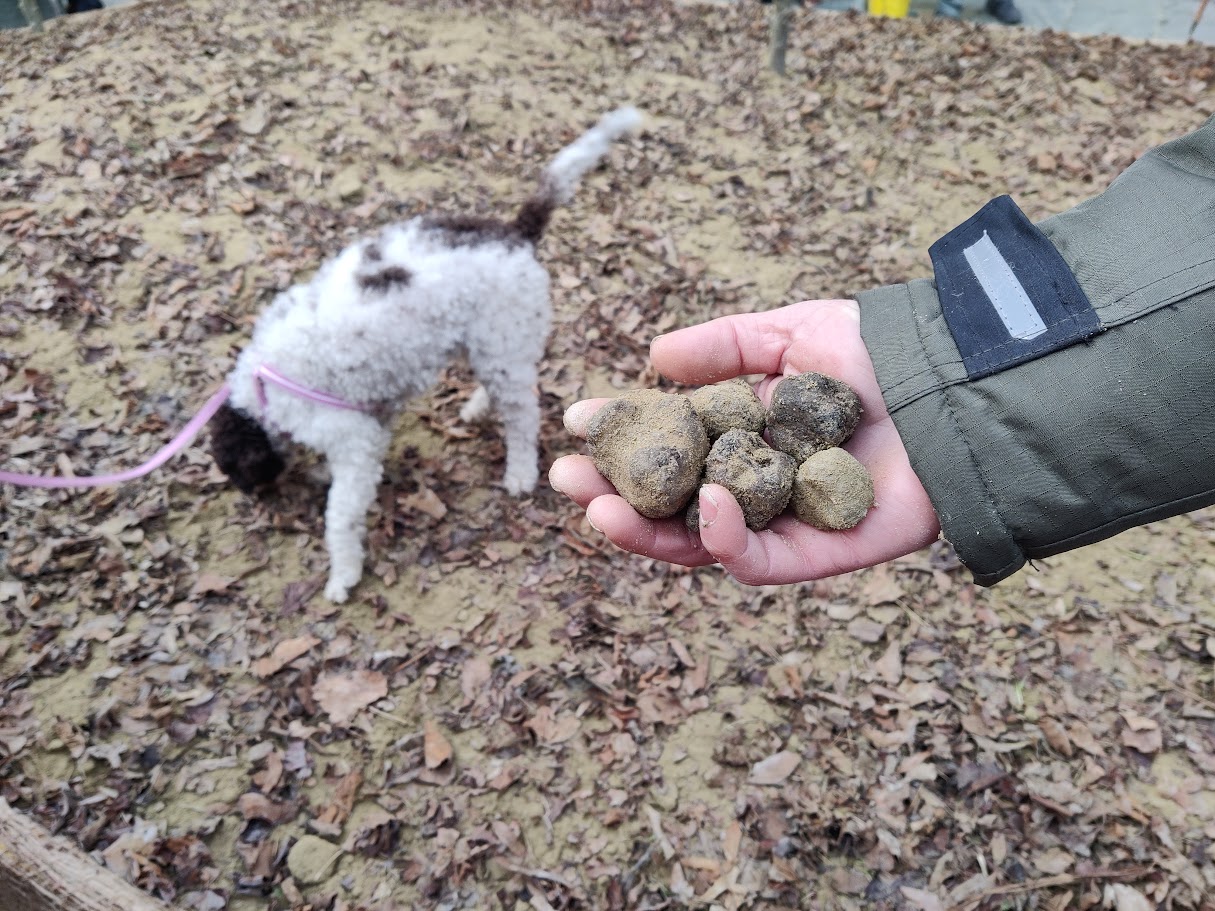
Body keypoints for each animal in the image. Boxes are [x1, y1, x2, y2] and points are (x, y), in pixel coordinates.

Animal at [208, 107, 642, 603]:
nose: (252, 497)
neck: (262, 389)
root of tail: (515, 233)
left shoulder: (356, 441)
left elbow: (340, 518)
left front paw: (343, 574)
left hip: (502, 341)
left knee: (523, 416)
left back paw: (519, 472)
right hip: (486, 342)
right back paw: (476, 409)